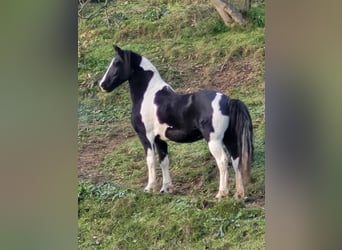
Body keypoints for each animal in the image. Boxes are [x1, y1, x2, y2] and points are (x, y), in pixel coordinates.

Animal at [97, 46, 252, 200]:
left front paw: (149, 188)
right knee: (236, 160)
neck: (148, 95)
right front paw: (166, 188)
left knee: (223, 161)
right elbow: (163, 161)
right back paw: (239, 194)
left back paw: (221, 193)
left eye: (117, 62)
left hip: (214, 141)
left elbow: (150, 160)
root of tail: (228, 101)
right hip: (229, 139)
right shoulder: (159, 139)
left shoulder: (146, 137)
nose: (102, 85)